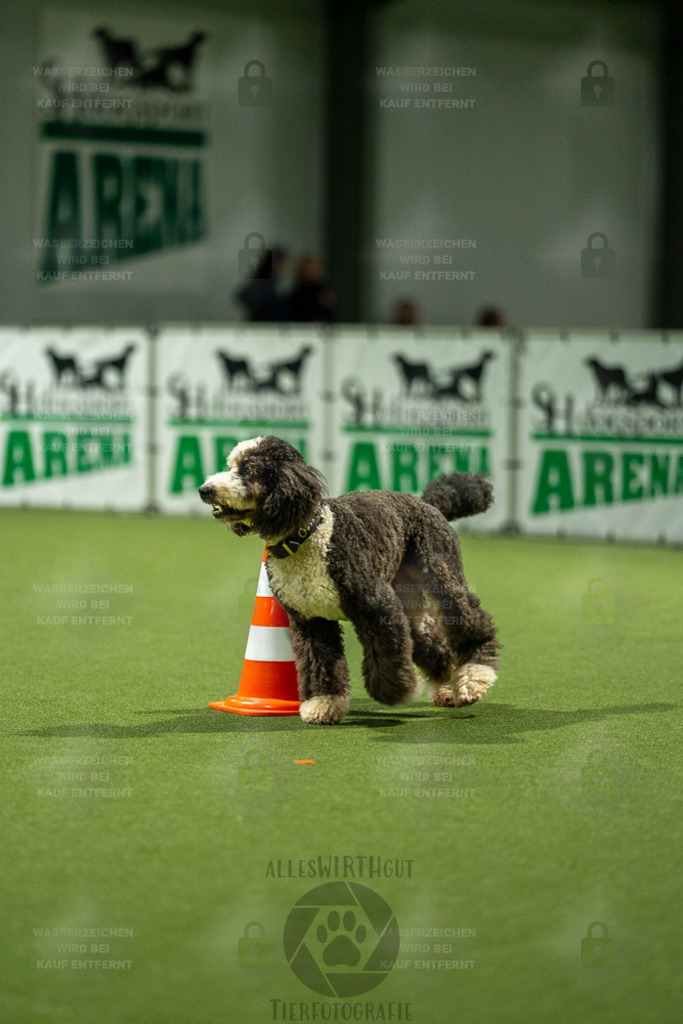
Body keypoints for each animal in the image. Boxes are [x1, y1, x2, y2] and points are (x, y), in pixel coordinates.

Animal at [200, 436, 499, 724]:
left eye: (249, 470)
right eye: (229, 465)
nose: (205, 489)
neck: (306, 536)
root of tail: (427, 503)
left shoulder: (378, 608)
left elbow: (385, 654)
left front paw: (397, 691)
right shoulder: (311, 621)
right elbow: (321, 664)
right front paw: (323, 704)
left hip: (442, 577)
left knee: (471, 621)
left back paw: (475, 677)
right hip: (407, 599)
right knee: (432, 642)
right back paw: (446, 689)